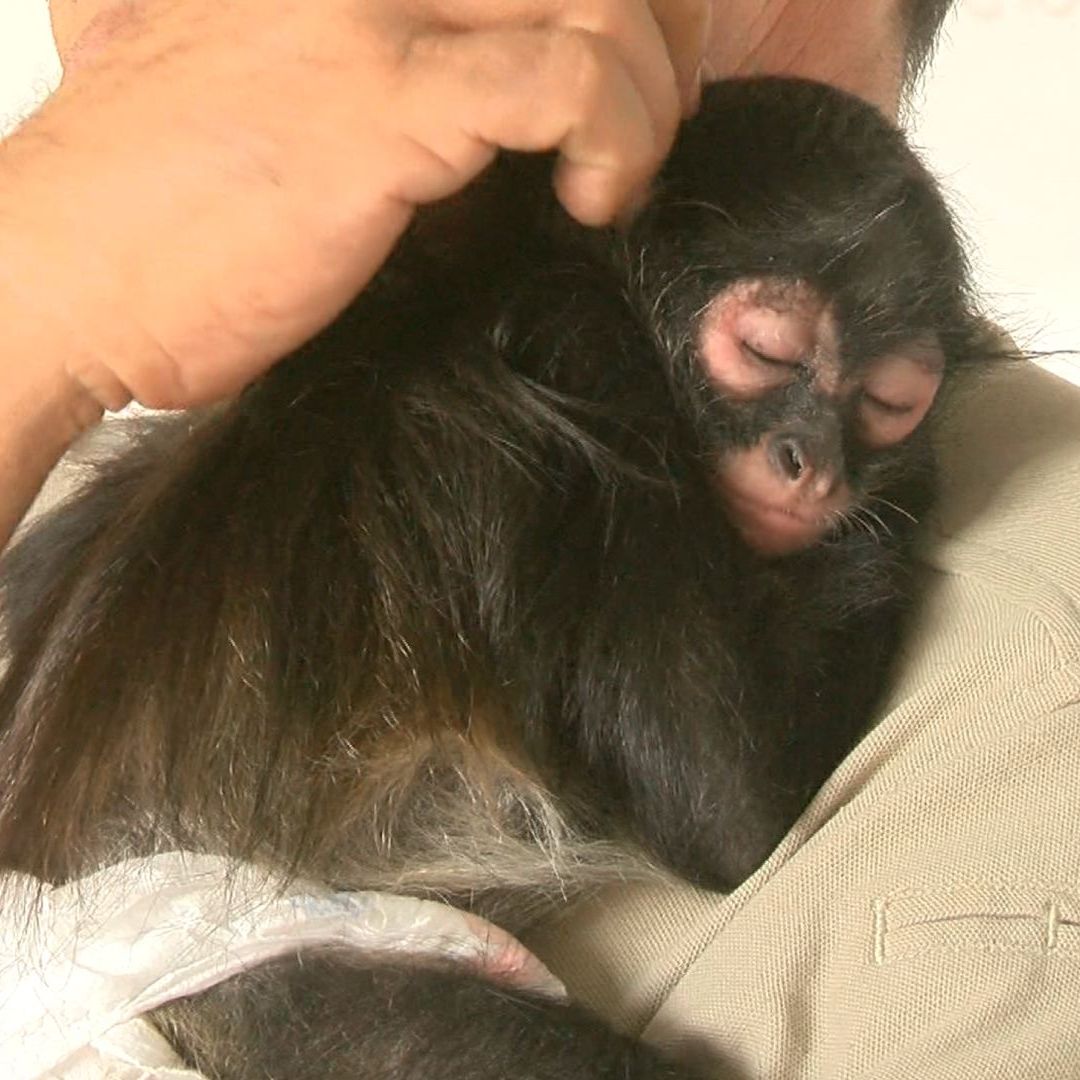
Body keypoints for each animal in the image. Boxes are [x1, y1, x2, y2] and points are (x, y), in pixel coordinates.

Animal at [0, 78, 992, 1078]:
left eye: (888, 401)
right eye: (767, 352)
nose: (812, 464)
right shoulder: (593, 354)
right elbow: (729, 816)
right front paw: (908, 489)